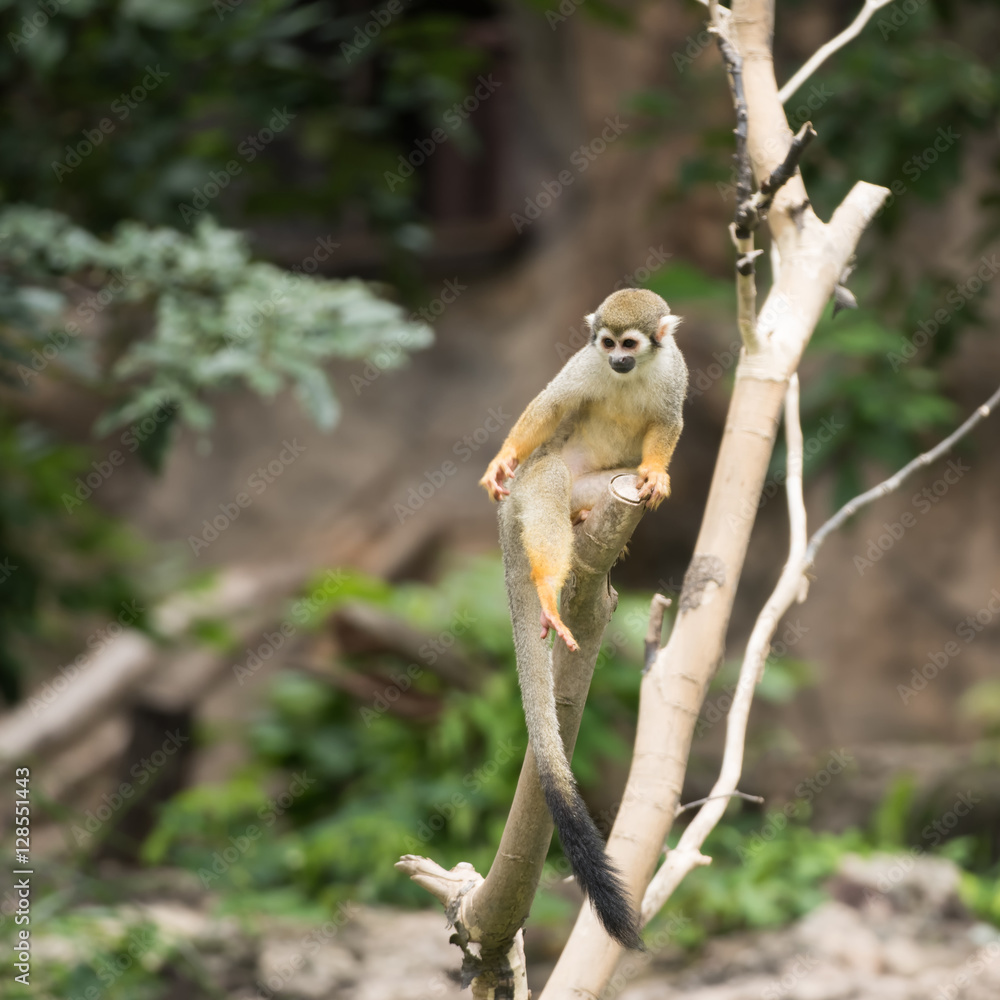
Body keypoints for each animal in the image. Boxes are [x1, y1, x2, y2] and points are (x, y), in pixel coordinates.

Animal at [479, 288, 688, 950]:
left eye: (633, 344)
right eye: (607, 343)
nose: (617, 360)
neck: (629, 375)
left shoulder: (674, 373)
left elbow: (668, 424)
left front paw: (657, 474)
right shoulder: (582, 365)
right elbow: (552, 404)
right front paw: (501, 455)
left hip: (595, 491)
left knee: (603, 486)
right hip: (531, 487)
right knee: (546, 474)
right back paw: (548, 584)